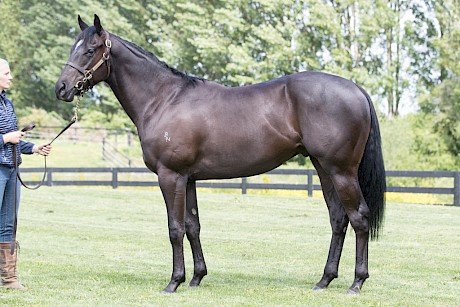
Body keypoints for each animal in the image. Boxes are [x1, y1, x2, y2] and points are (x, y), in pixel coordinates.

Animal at [54, 15, 384, 296]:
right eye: (74, 47)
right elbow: (192, 226)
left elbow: (175, 229)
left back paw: (356, 283)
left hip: (341, 171)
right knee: (338, 219)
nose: (62, 88)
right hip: (323, 168)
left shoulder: (170, 176)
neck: (164, 100)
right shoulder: (188, 179)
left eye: (90, 50)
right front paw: (196, 277)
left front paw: (174, 282)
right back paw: (324, 280)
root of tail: (356, 89)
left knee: (359, 218)